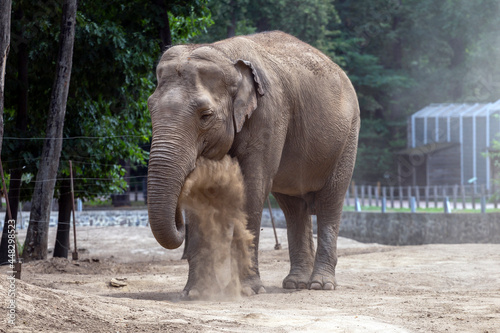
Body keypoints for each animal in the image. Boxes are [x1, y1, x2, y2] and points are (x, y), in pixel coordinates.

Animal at [146, 30, 362, 294]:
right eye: (150, 109)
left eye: (205, 116)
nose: (178, 221)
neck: (224, 54)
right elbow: (201, 192)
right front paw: (196, 292)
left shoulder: (269, 113)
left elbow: (253, 187)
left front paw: (248, 290)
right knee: (294, 207)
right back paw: (296, 283)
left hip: (348, 136)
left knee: (329, 201)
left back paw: (320, 285)